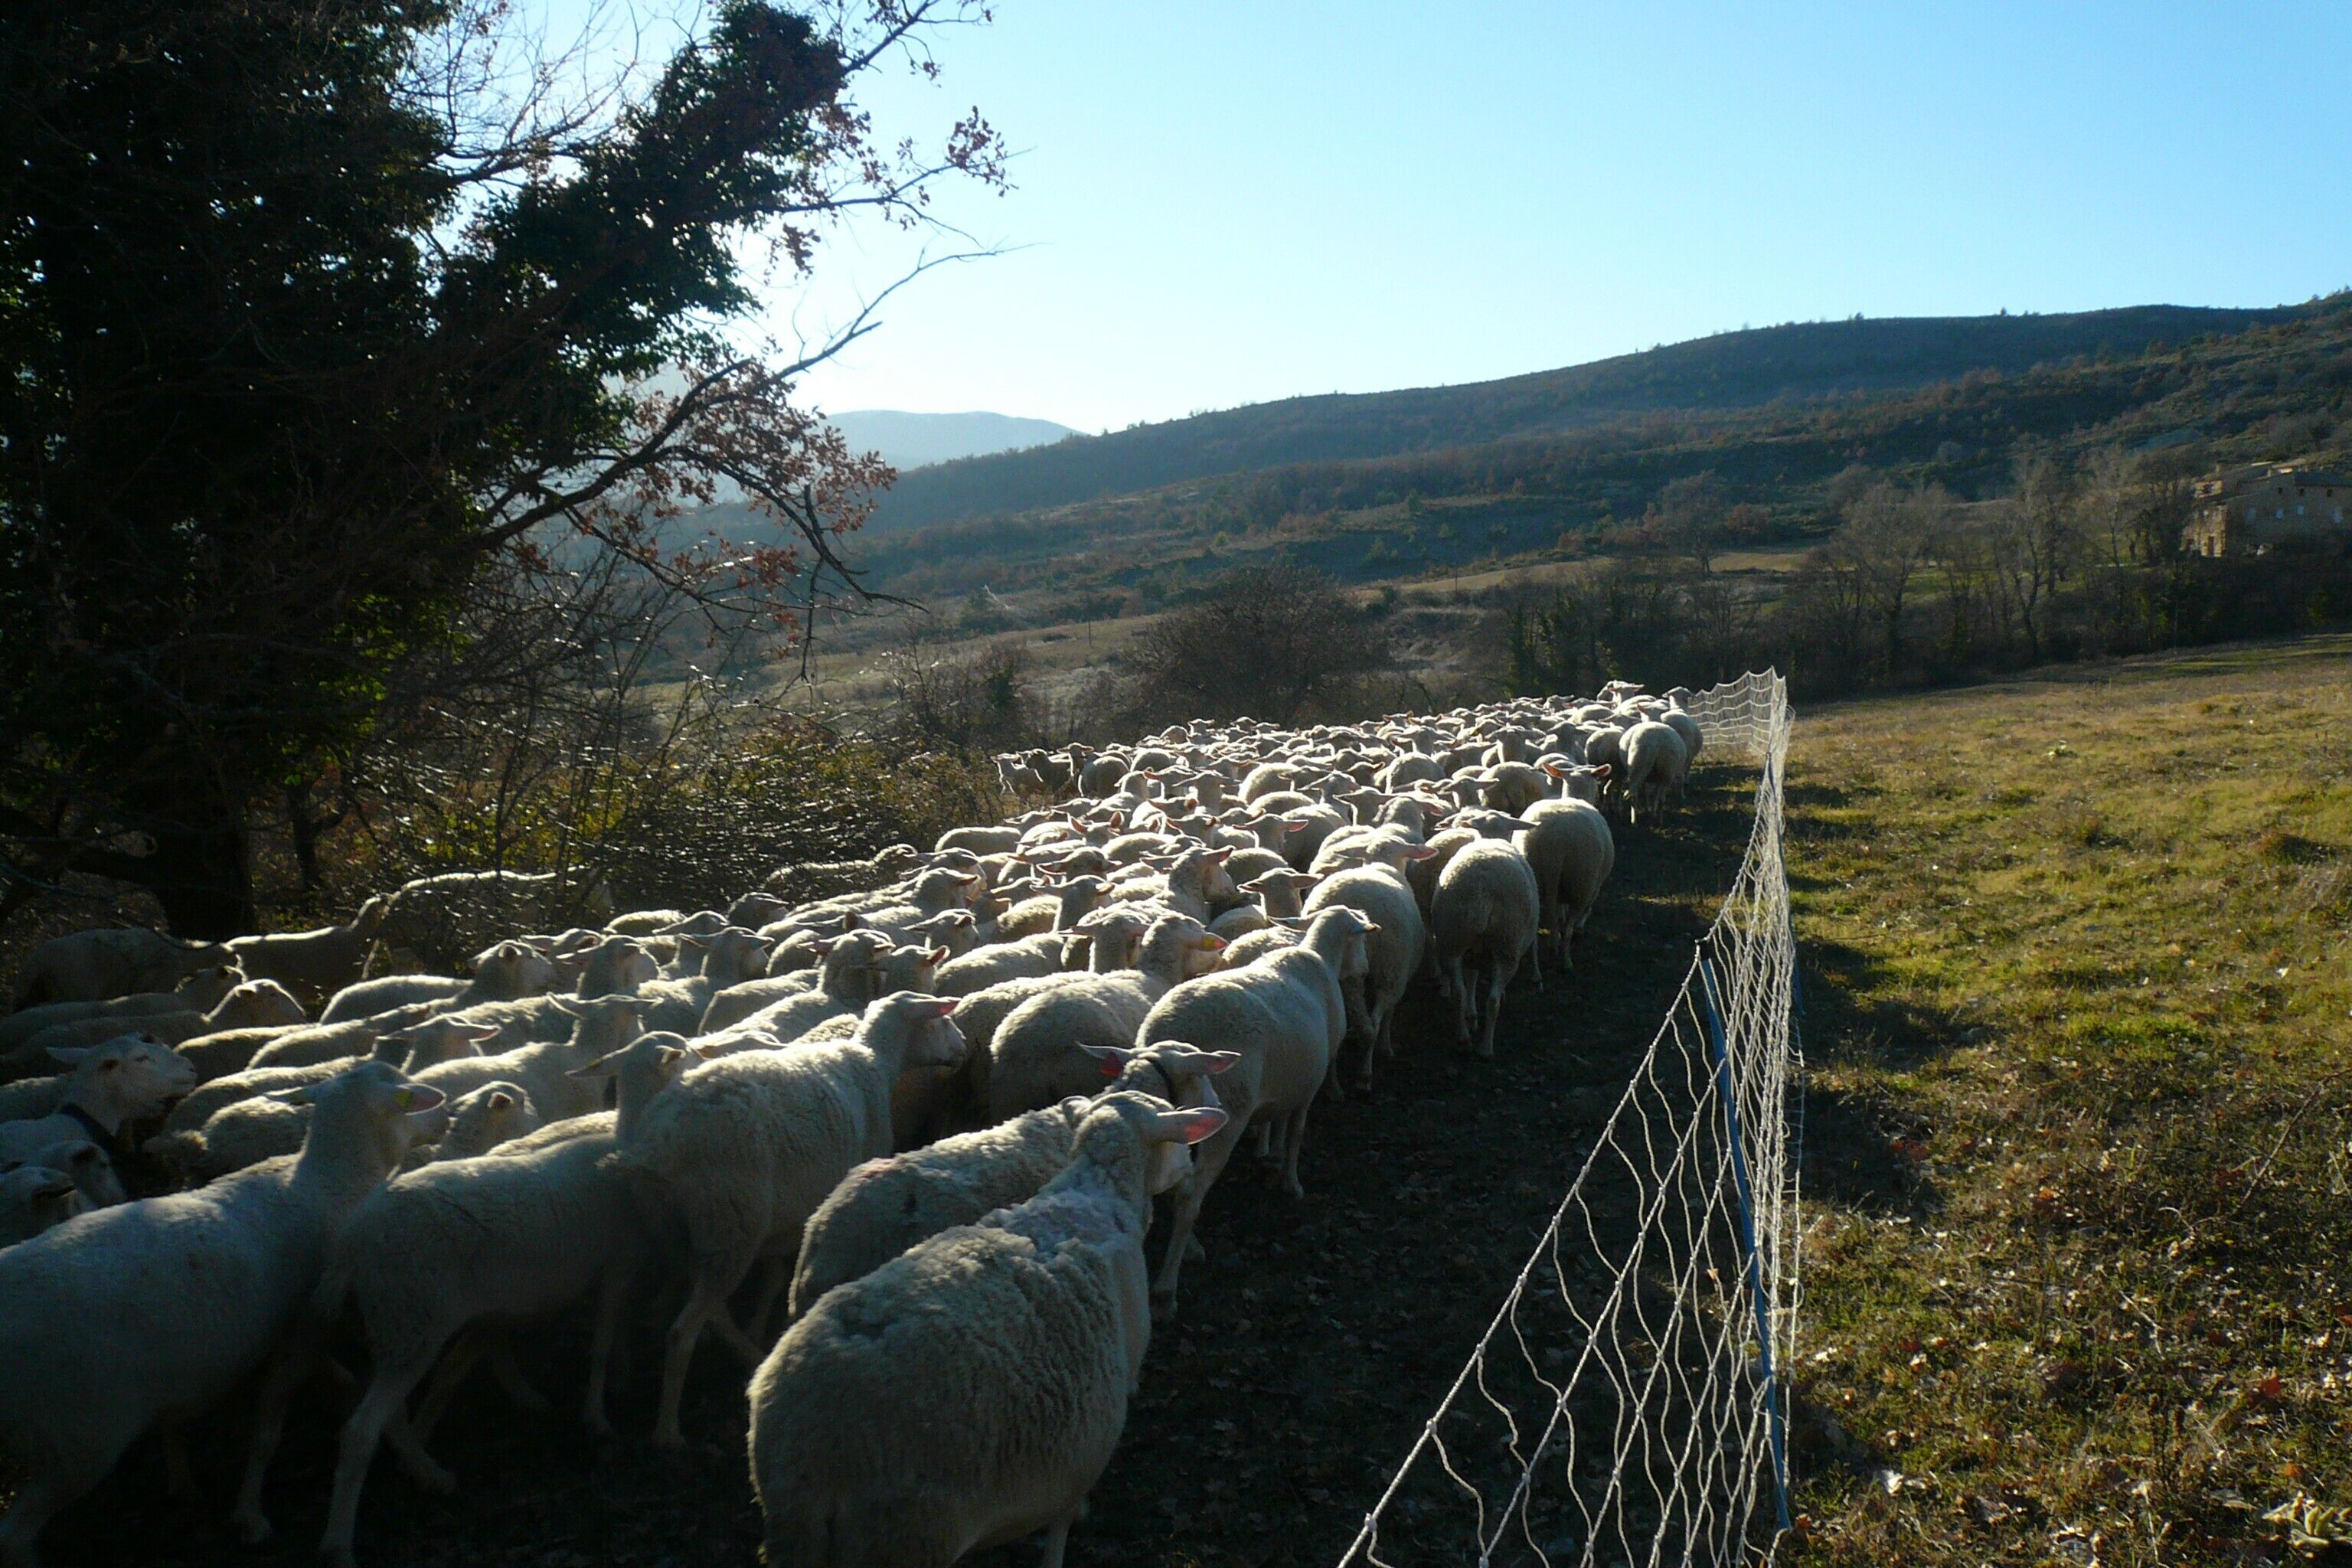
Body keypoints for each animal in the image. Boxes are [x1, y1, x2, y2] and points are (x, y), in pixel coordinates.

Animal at [0, 1062, 442, 1566]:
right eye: (406, 1097)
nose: (445, 1116)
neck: (328, 1183)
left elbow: (346, 1385)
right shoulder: (301, 1335)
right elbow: (268, 1428)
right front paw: (250, 1515)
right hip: (79, 1436)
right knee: (14, 1533)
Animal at [607, 991, 970, 1447]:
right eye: (942, 1022)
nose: (965, 1048)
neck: (877, 1062)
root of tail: (655, 1149)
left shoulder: (782, 1221)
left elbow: (778, 1273)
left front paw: (762, 1322)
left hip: (681, 1229)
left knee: (707, 1309)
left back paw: (748, 1352)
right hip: (732, 1221)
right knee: (682, 1331)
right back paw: (669, 1430)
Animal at [749, 1091, 1227, 1568]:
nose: (1190, 1174)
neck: (1099, 1193)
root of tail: (809, 1440)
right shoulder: (1093, 1431)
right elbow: (1062, 1520)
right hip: (908, 1532)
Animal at [1138, 906, 1372, 1319]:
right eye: (1361, 937)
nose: (1363, 970)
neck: (1321, 957)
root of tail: (1169, 1030)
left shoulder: (1285, 1082)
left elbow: (1275, 1120)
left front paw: (1268, 1151)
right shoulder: (1308, 1086)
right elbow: (1296, 1134)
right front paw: (1290, 1182)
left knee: (1176, 1186)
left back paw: (1191, 1246)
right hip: (1226, 1111)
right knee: (1189, 1195)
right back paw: (1166, 1291)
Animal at [1429, 837, 1541, 1056]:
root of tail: (1481, 894)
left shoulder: (1473, 954)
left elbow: (1472, 980)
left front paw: (1471, 1016)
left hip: (1452, 939)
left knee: (1459, 992)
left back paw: (1463, 1036)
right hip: (1507, 944)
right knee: (1492, 1001)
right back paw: (1486, 1049)